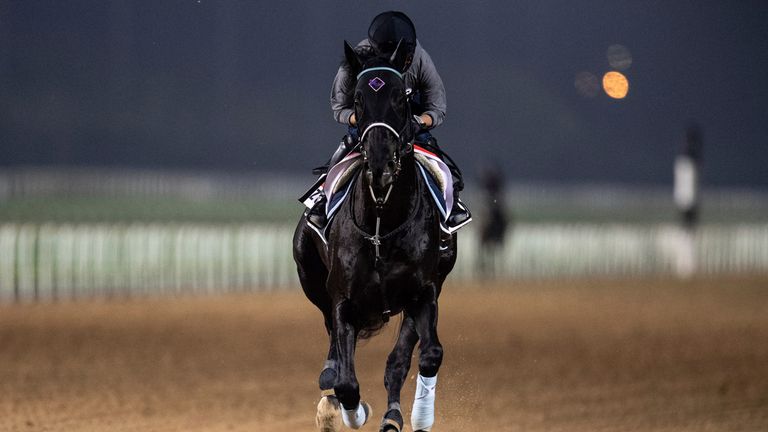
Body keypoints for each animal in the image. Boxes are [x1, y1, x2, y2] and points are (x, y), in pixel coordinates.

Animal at [294, 38, 456, 430]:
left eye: (401, 96)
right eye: (358, 99)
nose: (381, 163)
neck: (382, 222)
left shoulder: (424, 291)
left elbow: (425, 355)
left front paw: (416, 416)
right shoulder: (342, 298)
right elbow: (345, 381)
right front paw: (349, 410)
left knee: (399, 361)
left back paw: (394, 413)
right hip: (310, 275)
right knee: (333, 351)